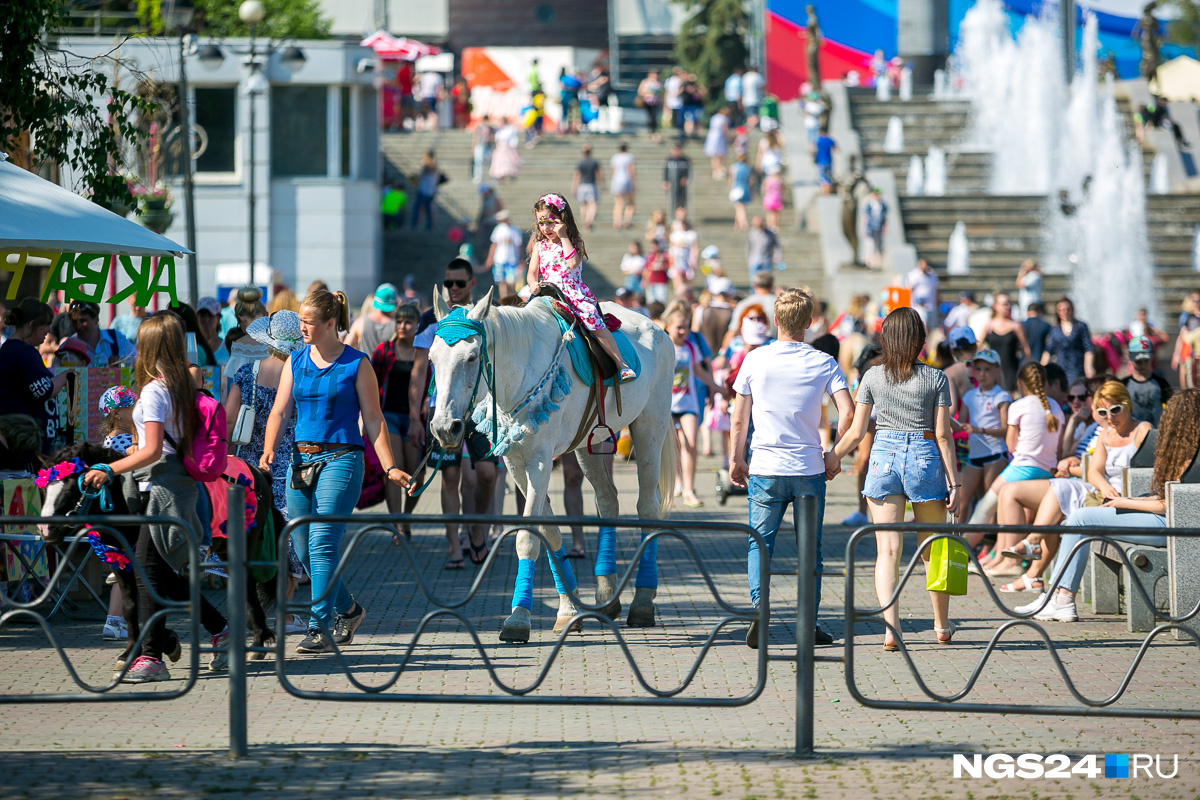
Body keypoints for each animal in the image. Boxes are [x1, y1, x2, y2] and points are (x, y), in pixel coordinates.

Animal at [429, 289, 676, 642]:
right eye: (432, 359)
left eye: (472, 357)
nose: (444, 428)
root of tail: (657, 328)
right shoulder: (517, 463)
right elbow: (550, 532)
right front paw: (569, 609)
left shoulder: (541, 462)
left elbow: (527, 538)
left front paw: (519, 618)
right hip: (590, 443)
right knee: (608, 501)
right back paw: (606, 595)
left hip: (649, 428)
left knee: (647, 508)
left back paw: (642, 602)